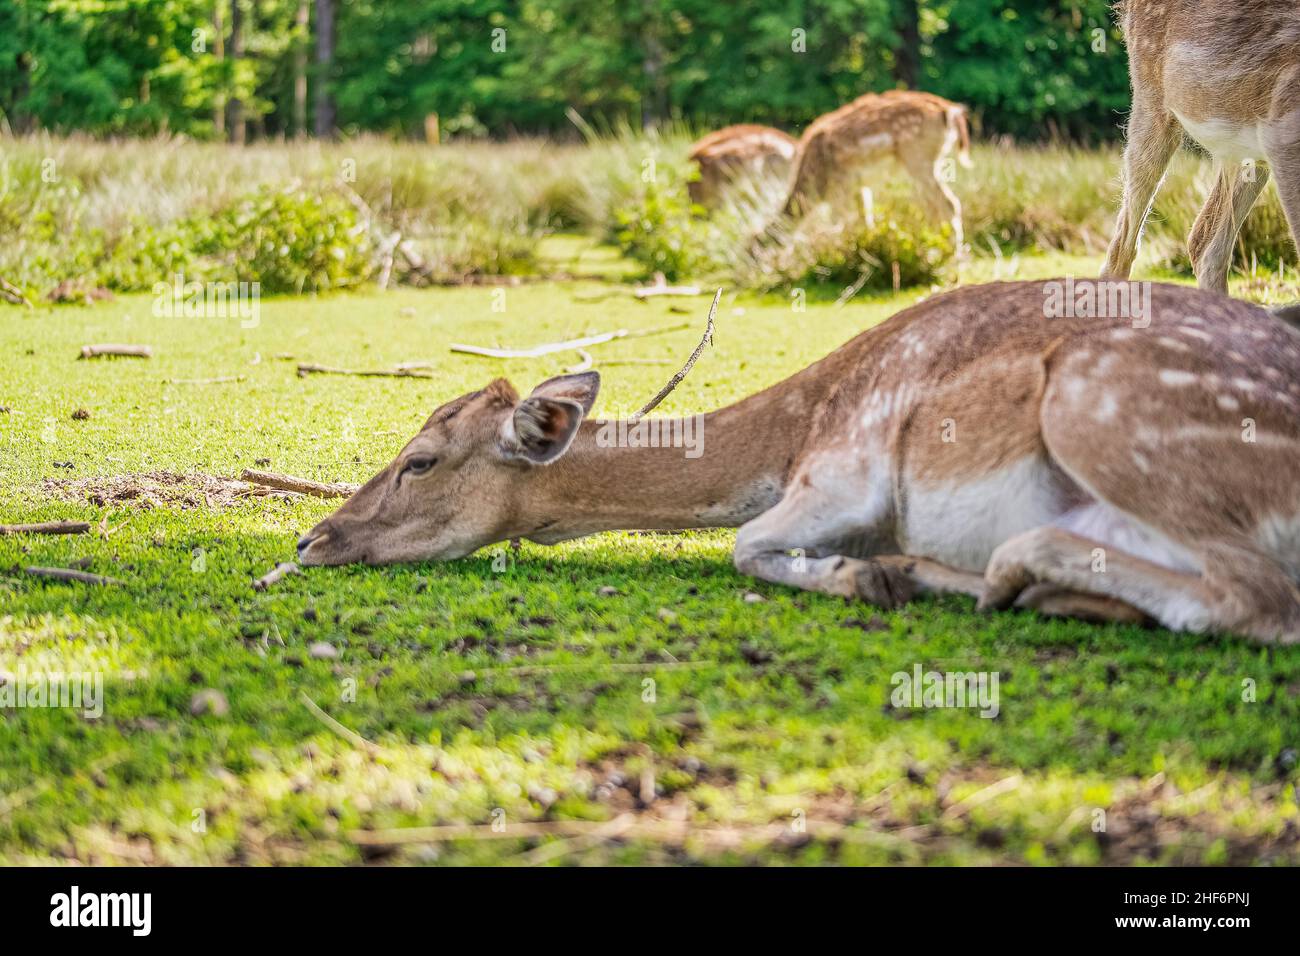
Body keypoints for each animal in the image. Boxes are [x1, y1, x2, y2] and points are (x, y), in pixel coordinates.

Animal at [297, 280, 1300, 647]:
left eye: (420, 462)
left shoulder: (844, 470)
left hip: (1102, 409)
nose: (311, 540)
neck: (782, 445)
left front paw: (860, 577)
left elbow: (745, 547)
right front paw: (882, 573)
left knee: (1255, 600)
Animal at [774, 91, 972, 244]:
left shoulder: (840, 187)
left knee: (948, 203)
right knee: (934, 207)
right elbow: (864, 221)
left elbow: (841, 223)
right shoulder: (859, 187)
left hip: (918, 157)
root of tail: (949, 110)